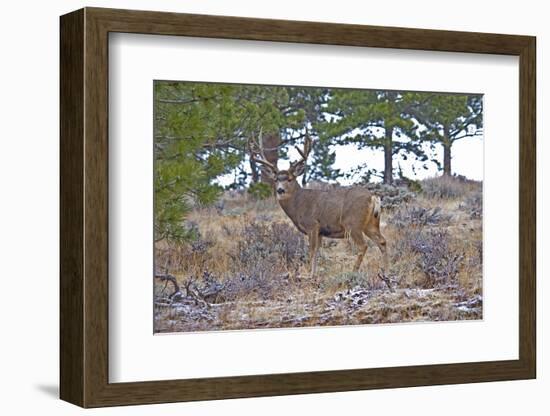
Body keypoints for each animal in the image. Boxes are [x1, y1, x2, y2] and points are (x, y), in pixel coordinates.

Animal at [250, 133, 392, 290]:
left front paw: (308, 276)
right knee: (382, 241)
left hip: (352, 223)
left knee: (363, 246)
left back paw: (353, 273)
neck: (298, 204)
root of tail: (373, 197)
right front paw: (313, 275)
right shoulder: (320, 231)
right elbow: (317, 252)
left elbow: (311, 251)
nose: (280, 190)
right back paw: (386, 274)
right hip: (371, 224)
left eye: (290, 179)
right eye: (275, 179)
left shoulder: (312, 225)